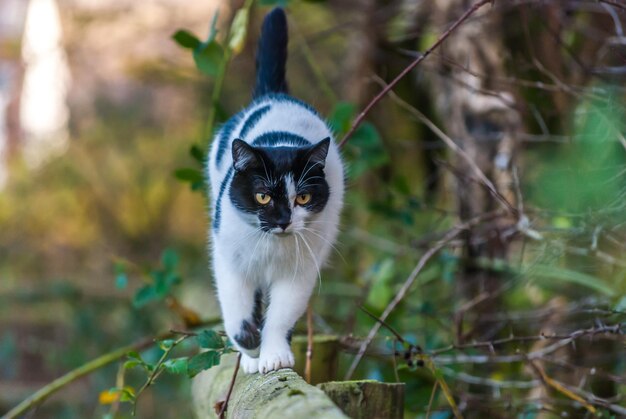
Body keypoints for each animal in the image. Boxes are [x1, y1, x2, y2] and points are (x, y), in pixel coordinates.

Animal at [206, 6, 344, 376]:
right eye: (263, 196)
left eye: (303, 197)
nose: (283, 221)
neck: (272, 247)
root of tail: (275, 95)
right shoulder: (229, 260)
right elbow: (237, 311)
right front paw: (250, 350)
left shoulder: (300, 272)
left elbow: (281, 315)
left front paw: (273, 355)